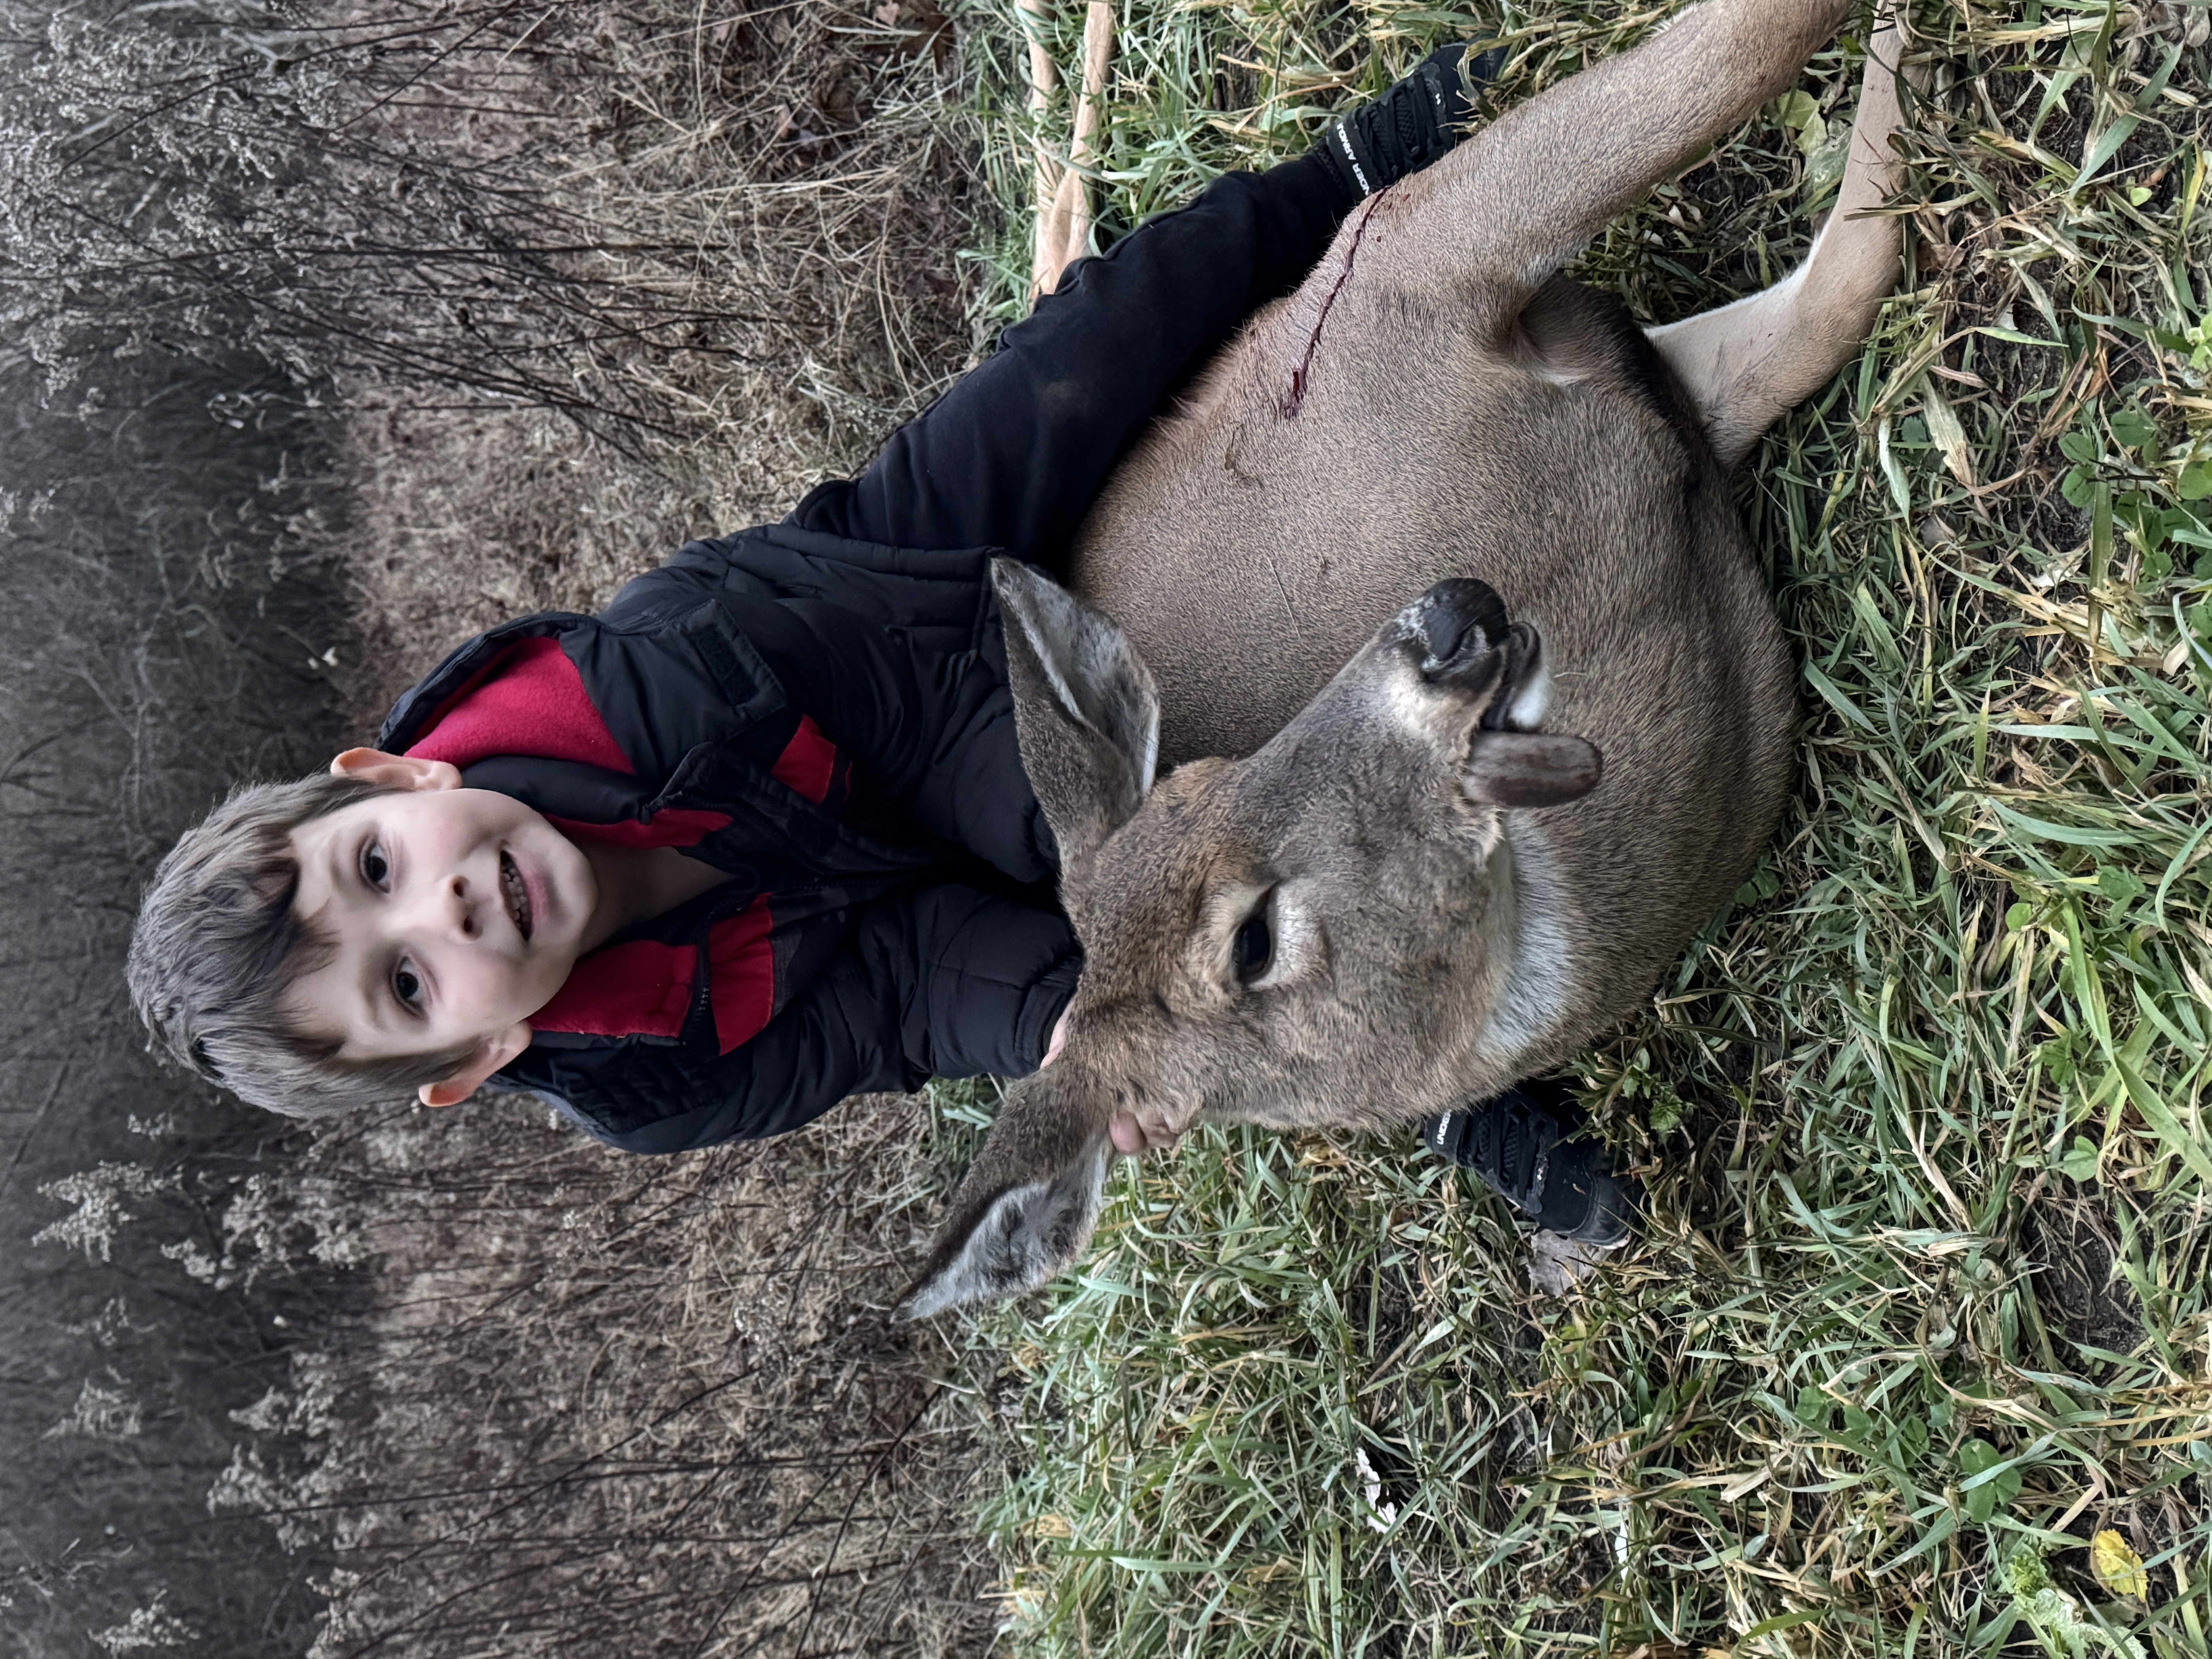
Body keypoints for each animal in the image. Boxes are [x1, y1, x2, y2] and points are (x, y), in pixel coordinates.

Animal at [897, 0, 1913, 1318]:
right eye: (1251, 943)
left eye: (1204, 772)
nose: (1442, 621)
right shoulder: (1420, 267)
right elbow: (1779, 104)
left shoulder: (1499, 316)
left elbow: (1829, 252)